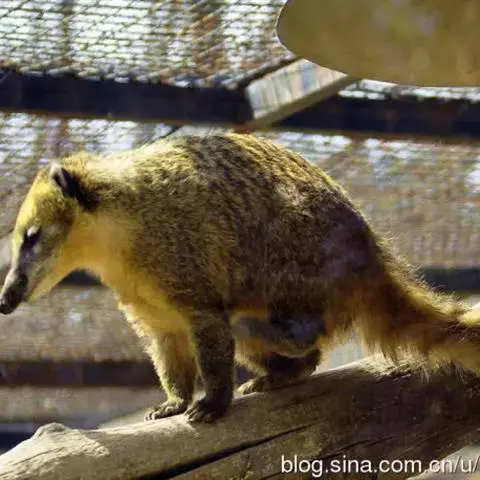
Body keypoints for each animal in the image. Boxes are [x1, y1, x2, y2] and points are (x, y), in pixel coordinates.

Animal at [0, 133, 478, 422]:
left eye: (32, 237)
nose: (5, 299)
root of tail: (373, 255)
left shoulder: (180, 253)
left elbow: (208, 328)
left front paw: (213, 399)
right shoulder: (140, 297)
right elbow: (165, 344)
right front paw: (175, 399)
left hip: (301, 258)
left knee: (266, 322)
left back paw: (280, 336)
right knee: (293, 353)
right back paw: (285, 371)